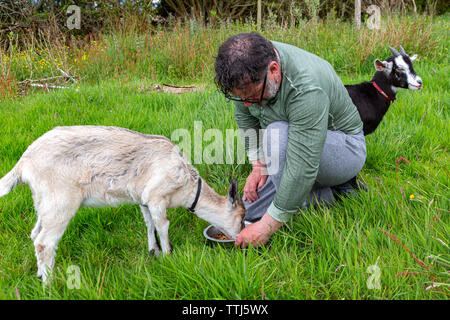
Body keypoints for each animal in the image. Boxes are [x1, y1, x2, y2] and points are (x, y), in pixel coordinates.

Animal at [0, 125, 244, 282]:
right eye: (241, 218)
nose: (239, 238)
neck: (186, 185)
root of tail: (24, 163)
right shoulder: (157, 197)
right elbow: (163, 225)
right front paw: (168, 256)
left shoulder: (144, 200)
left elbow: (149, 224)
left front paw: (153, 251)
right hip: (60, 200)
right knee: (45, 242)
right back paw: (50, 285)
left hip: (42, 201)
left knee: (35, 234)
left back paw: (41, 274)